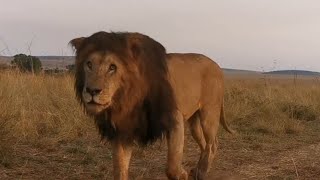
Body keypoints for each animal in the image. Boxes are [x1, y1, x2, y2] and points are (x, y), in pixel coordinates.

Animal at [70, 31, 234, 179]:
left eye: (112, 67)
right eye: (89, 64)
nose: (92, 90)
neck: (126, 100)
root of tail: (218, 66)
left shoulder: (174, 118)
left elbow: (172, 167)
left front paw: (183, 174)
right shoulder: (123, 130)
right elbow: (120, 169)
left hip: (209, 113)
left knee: (212, 143)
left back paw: (202, 172)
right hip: (194, 122)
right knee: (205, 144)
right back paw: (198, 169)